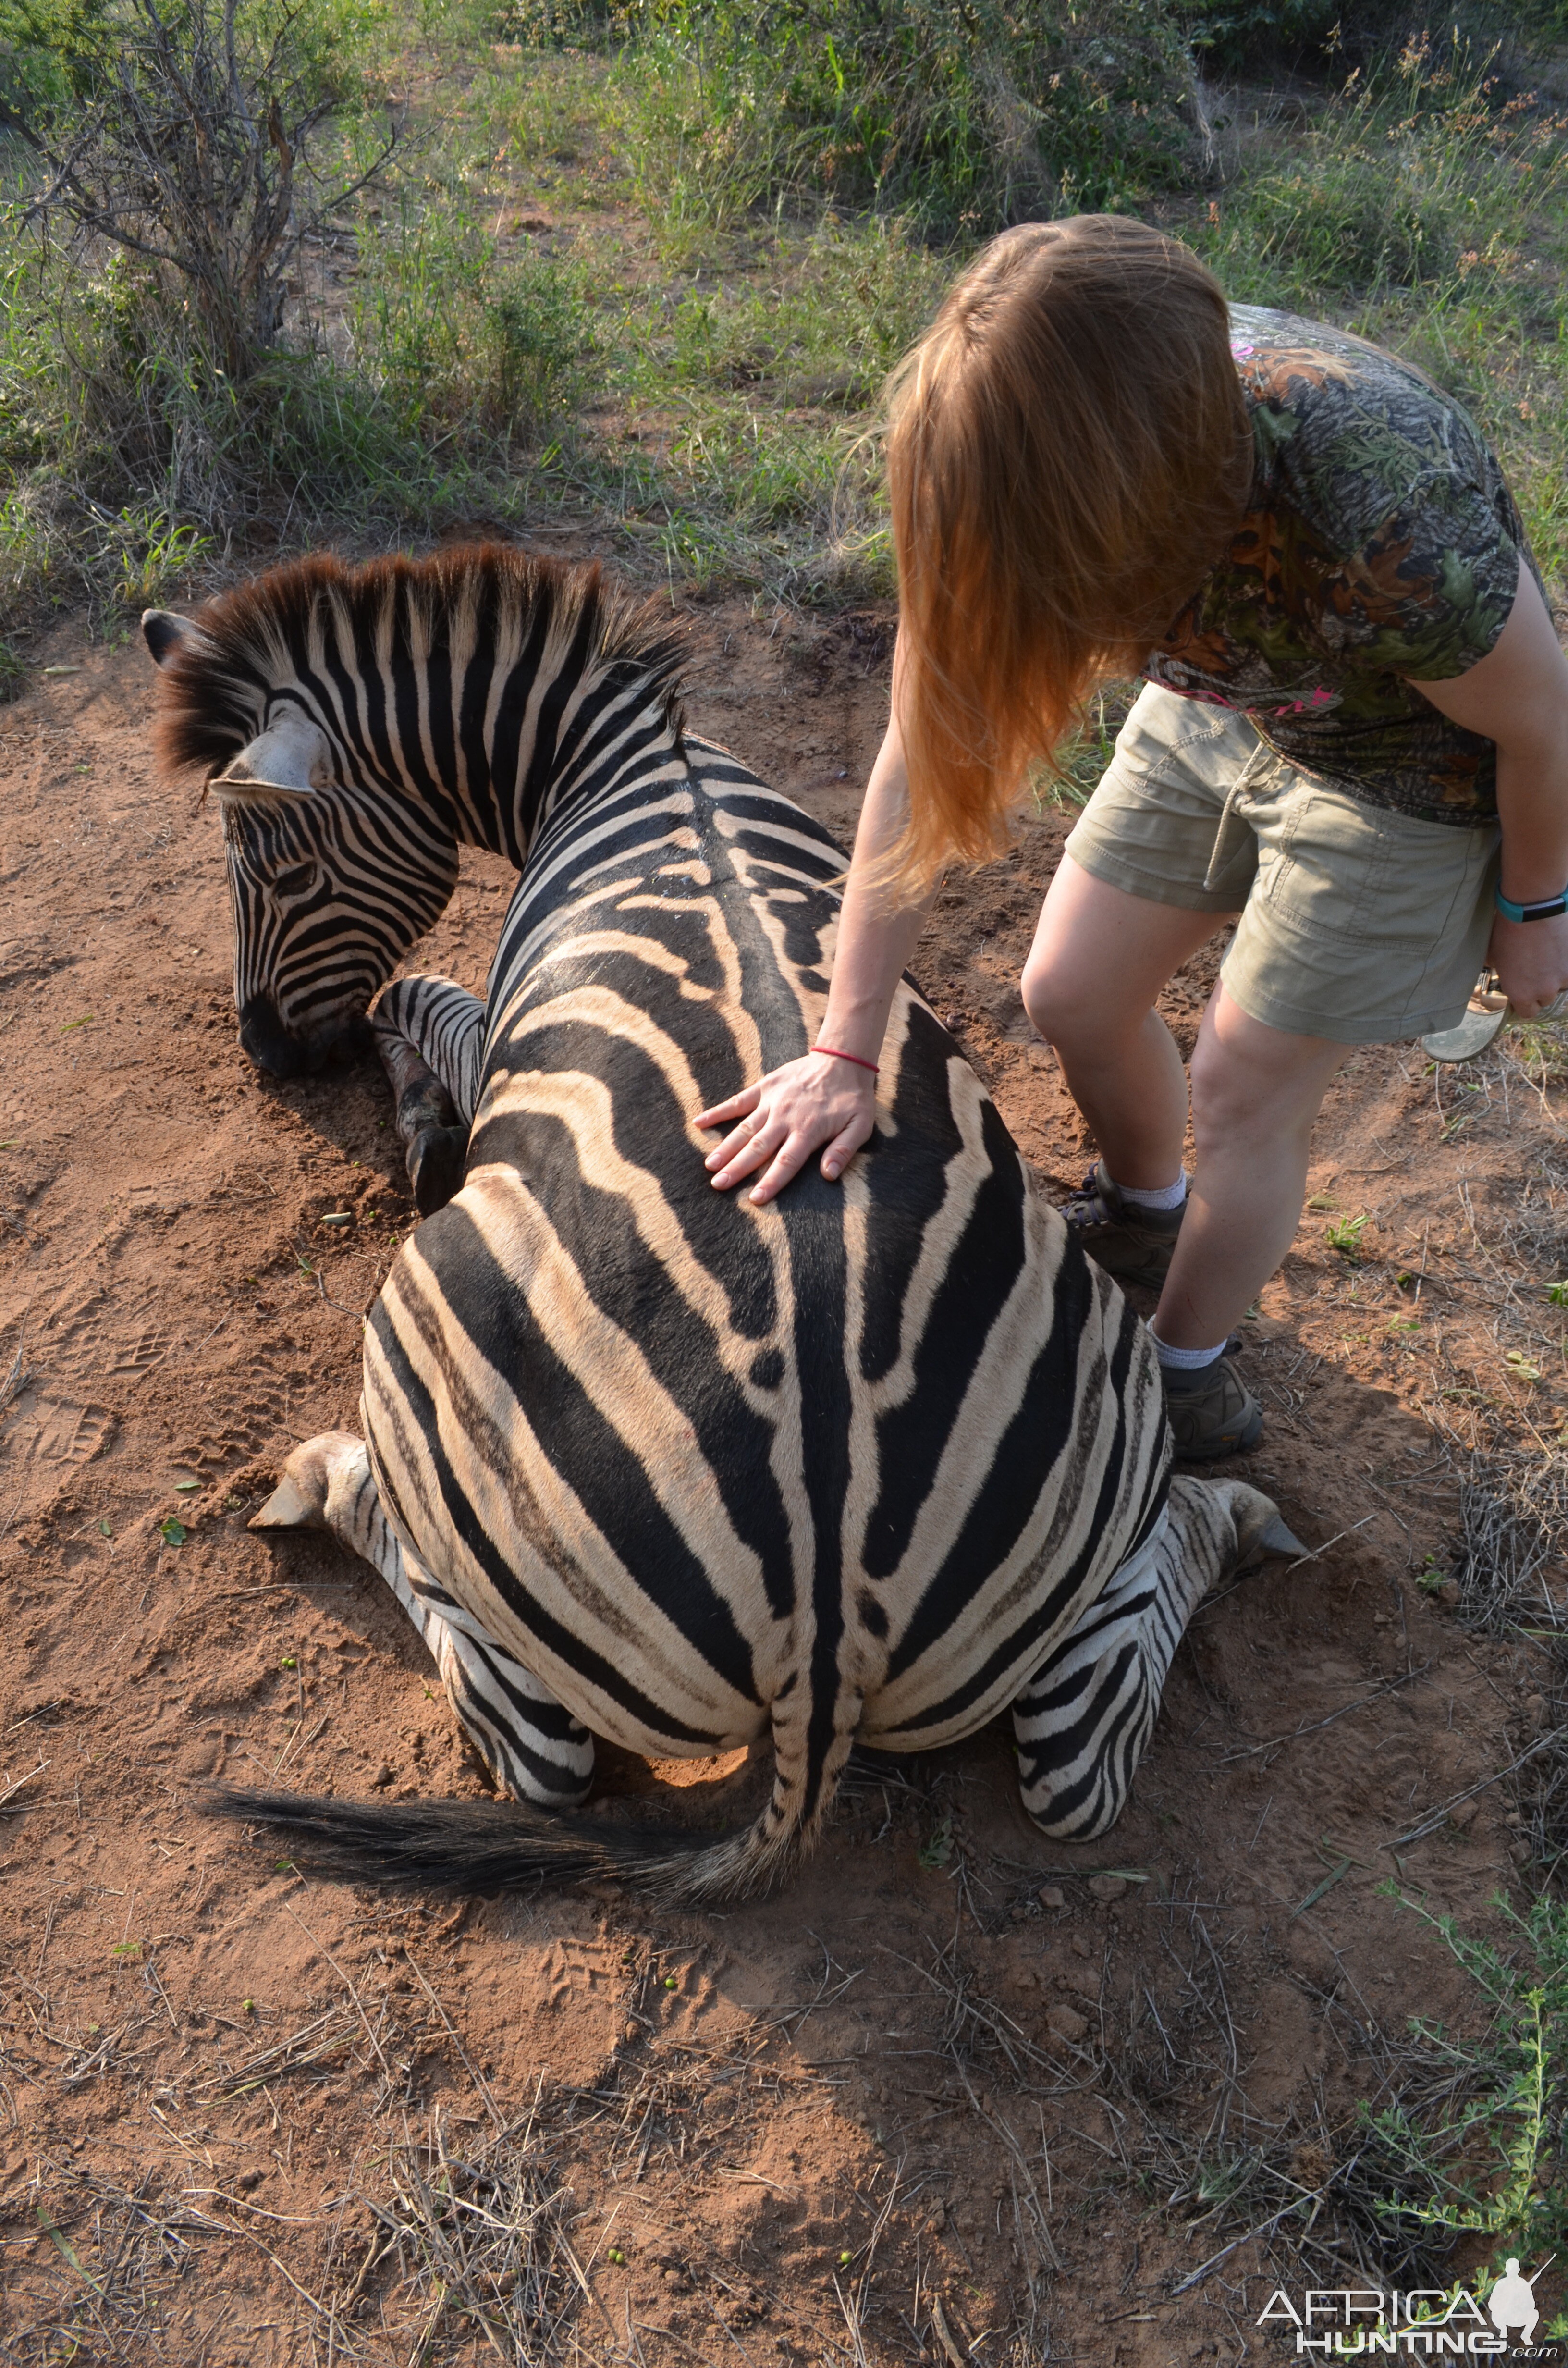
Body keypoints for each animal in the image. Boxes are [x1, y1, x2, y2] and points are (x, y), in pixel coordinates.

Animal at [144, 542, 1298, 1904]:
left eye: (278, 873)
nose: (268, 1059)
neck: (625, 754)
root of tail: (826, 1627)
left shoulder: (495, 1035)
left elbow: (416, 993)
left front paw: (418, 1112)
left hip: (420, 1339)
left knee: (530, 1746)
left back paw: (324, 1476)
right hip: (1097, 1393)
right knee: (1082, 1761)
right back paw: (1233, 1521)